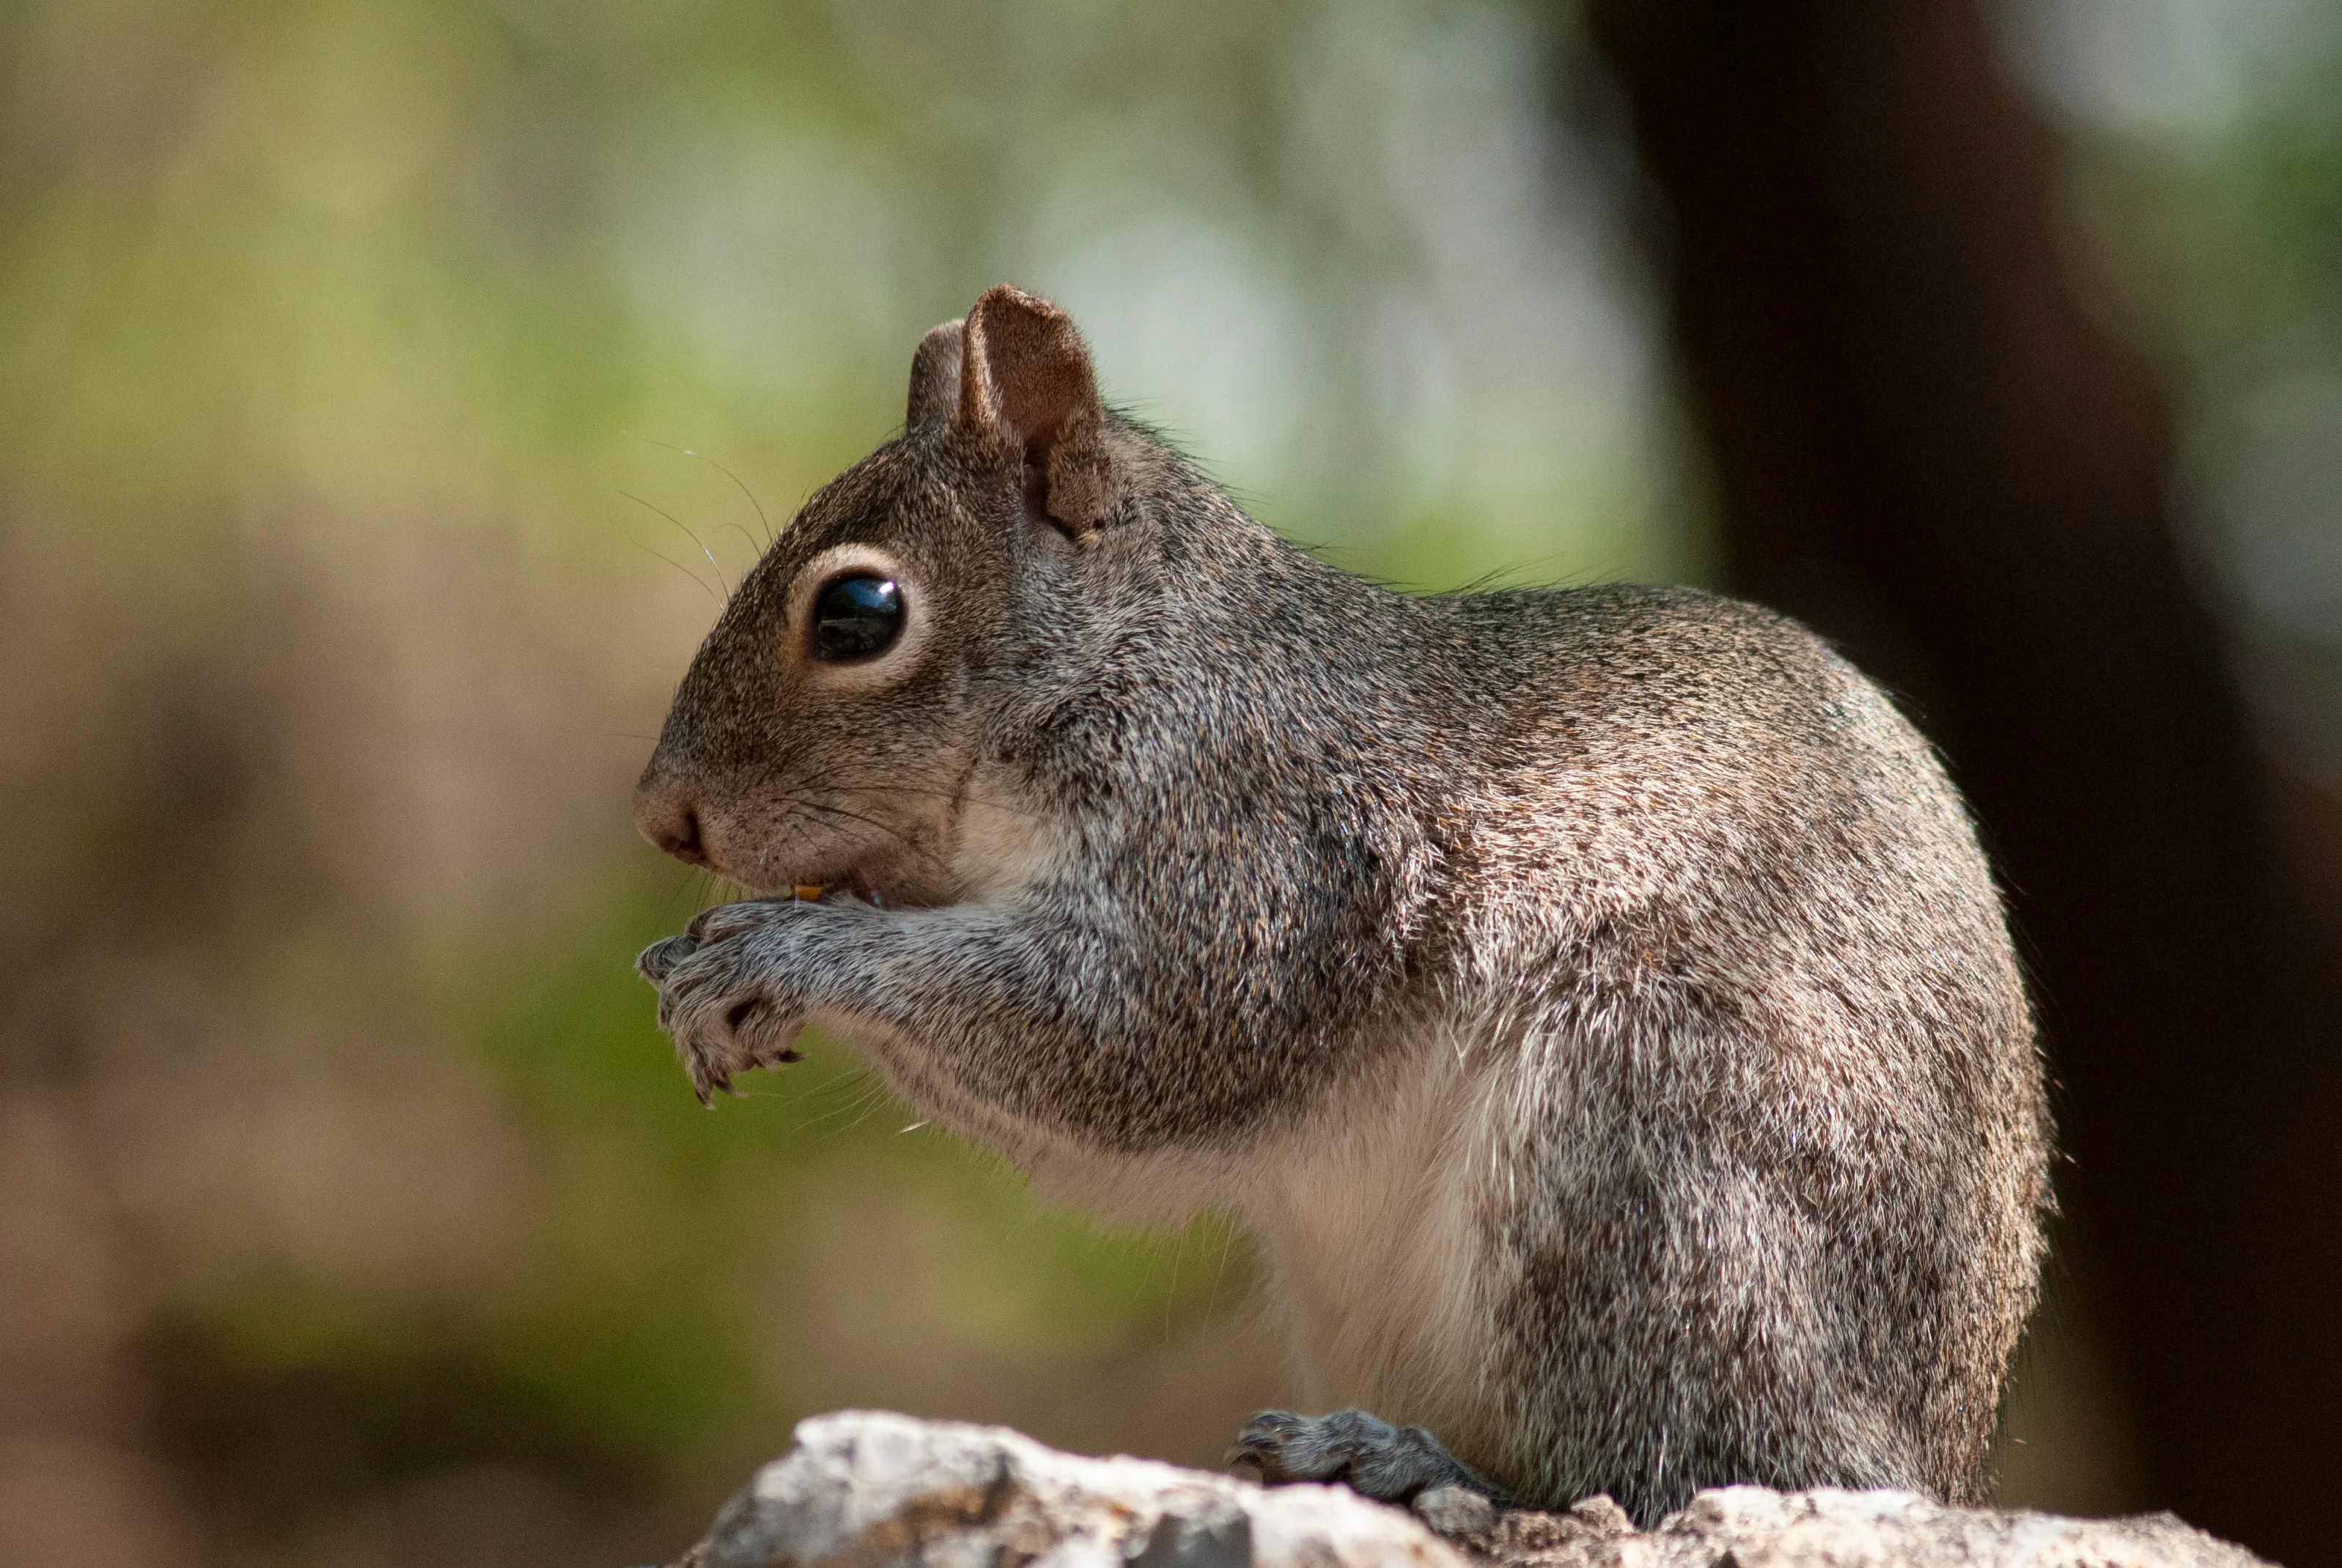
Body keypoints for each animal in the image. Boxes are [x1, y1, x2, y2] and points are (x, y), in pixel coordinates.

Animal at [632, 284, 2050, 1528]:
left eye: (858, 612)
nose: (662, 816)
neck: (1132, 656)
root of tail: (1923, 1457)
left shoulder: (1260, 849)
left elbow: (1131, 1035)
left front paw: (791, 948)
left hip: (1648, 1161)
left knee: (1671, 1470)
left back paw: (1414, 1461)